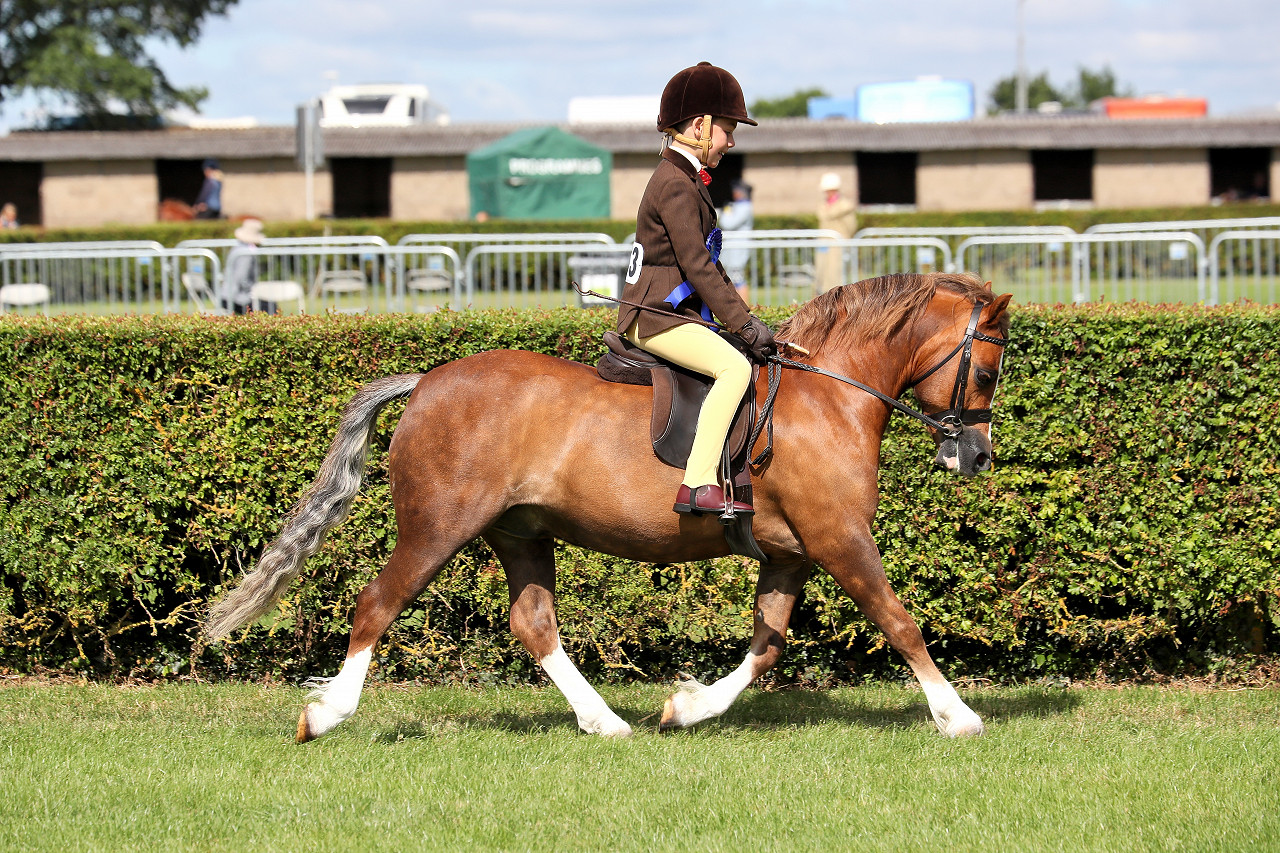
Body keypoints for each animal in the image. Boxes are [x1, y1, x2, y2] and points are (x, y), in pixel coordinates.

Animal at [207, 270, 1008, 737]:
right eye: (988, 371)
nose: (975, 456)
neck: (830, 395)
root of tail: (426, 382)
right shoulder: (840, 539)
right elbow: (900, 622)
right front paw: (958, 715)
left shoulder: (790, 553)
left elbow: (767, 646)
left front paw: (688, 706)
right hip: (438, 527)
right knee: (377, 601)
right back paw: (326, 714)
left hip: (520, 532)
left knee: (534, 625)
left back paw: (604, 721)